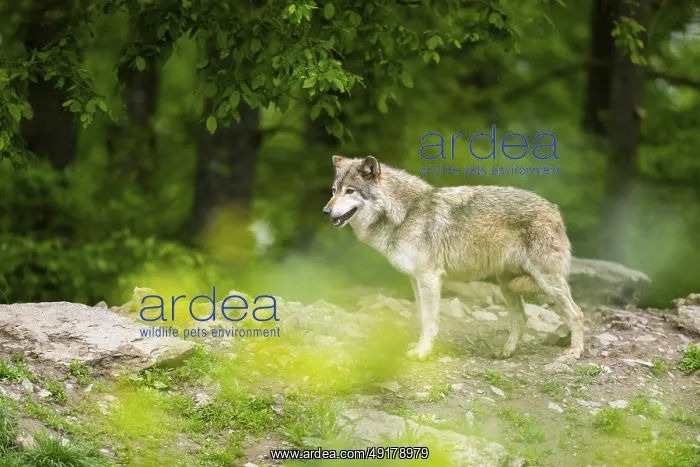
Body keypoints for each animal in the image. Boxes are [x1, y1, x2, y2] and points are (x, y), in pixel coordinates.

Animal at [323, 155, 585, 361]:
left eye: (350, 191)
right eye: (334, 191)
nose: (326, 211)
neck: (405, 214)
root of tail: (555, 210)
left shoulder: (429, 278)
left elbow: (430, 321)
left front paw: (423, 353)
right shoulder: (415, 279)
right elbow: (422, 318)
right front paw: (420, 347)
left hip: (545, 281)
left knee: (576, 313)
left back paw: (574, 352)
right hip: (507, 284)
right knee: (521, 318)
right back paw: (505, 352)